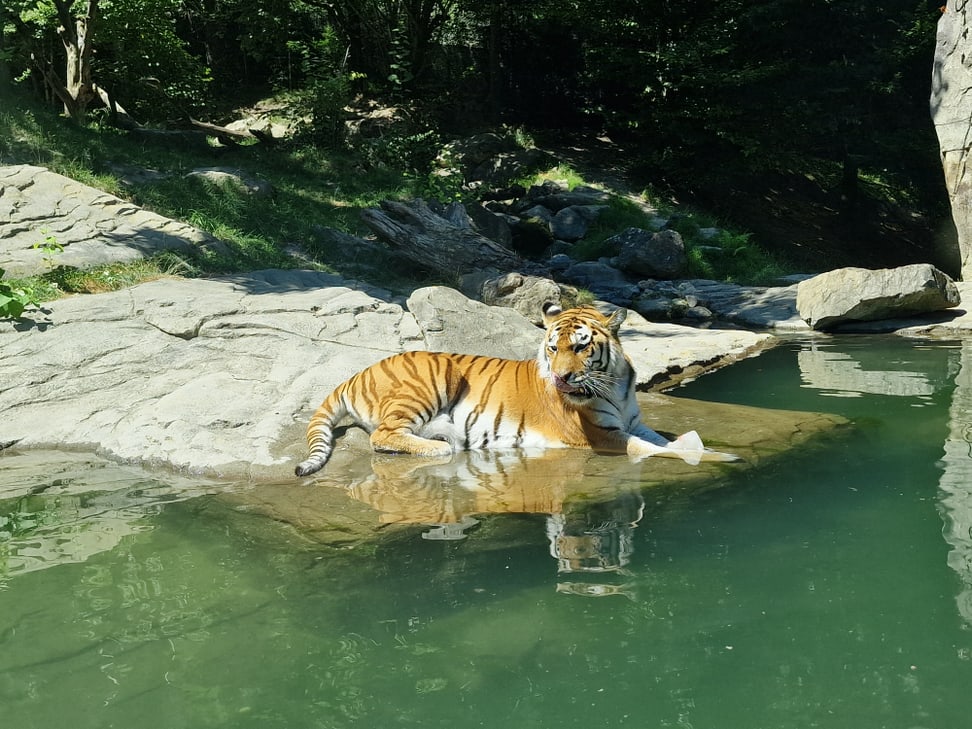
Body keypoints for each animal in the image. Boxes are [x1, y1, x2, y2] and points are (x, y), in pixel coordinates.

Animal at [294, 298, 736, 474]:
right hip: (436, 376)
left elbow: (663, 439)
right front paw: (720, 457)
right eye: (553, 347)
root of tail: (357, 373)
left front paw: (698, 444)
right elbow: (651, 450)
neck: (614, 382)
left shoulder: (632, 422)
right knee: (383, 435)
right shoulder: (602, 435)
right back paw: (441, 447)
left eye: (581, 347)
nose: (561, 377)